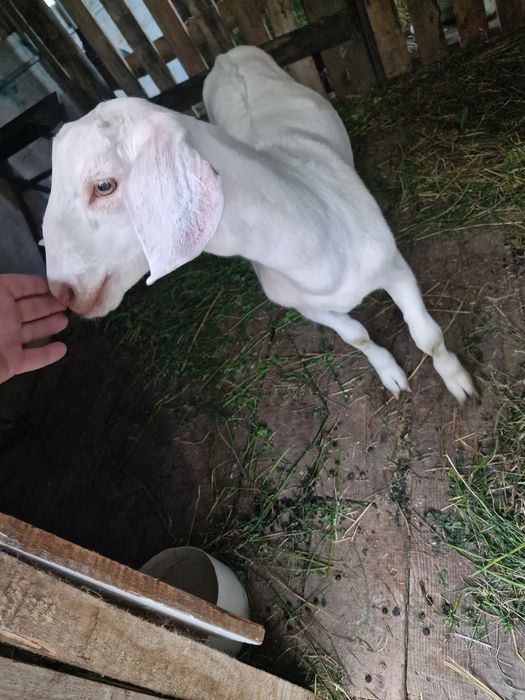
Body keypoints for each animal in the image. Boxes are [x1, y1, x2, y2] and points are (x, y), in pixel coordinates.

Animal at [42, 46, 475, 401]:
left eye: (103, 186)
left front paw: (458, 381)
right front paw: (391, 374)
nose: (61, 292)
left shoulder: (394, 266)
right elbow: (357, 336)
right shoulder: (309, 308)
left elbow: (427, 337)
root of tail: (224, 56)